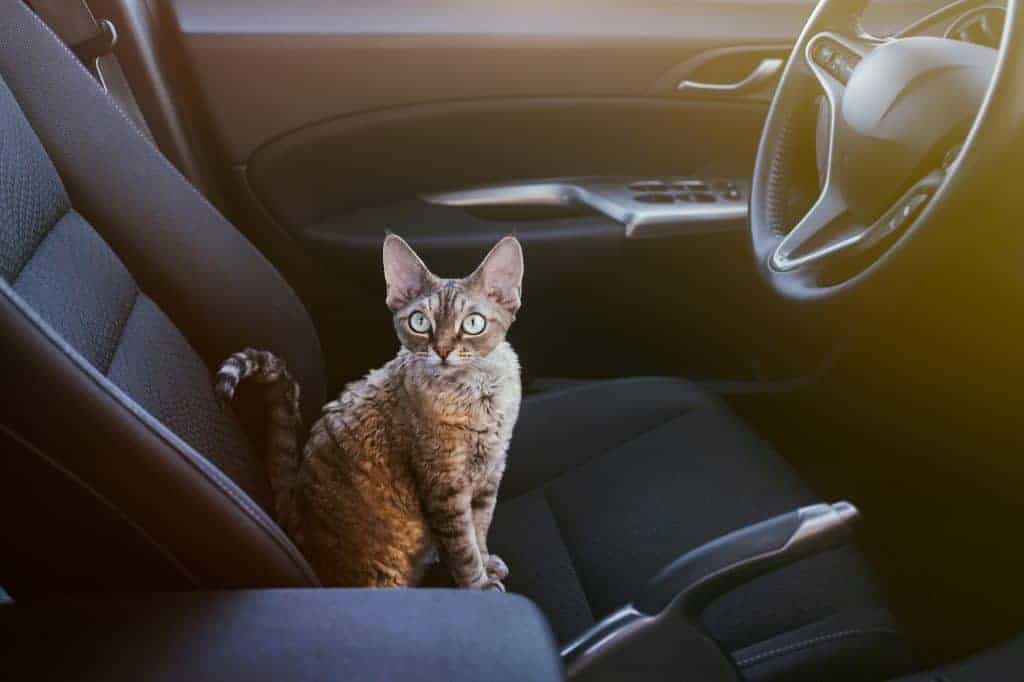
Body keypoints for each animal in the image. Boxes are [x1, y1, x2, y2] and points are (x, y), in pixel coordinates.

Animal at [212, 235, 524, 589]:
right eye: (419, 321)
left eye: (473, 323)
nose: (442, 350)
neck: (478, 394)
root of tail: (295, 514)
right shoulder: (443, 487)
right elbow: (463, 549)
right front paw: (480, 585)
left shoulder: (491, 473)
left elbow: (480, 529)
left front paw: (487, 563)